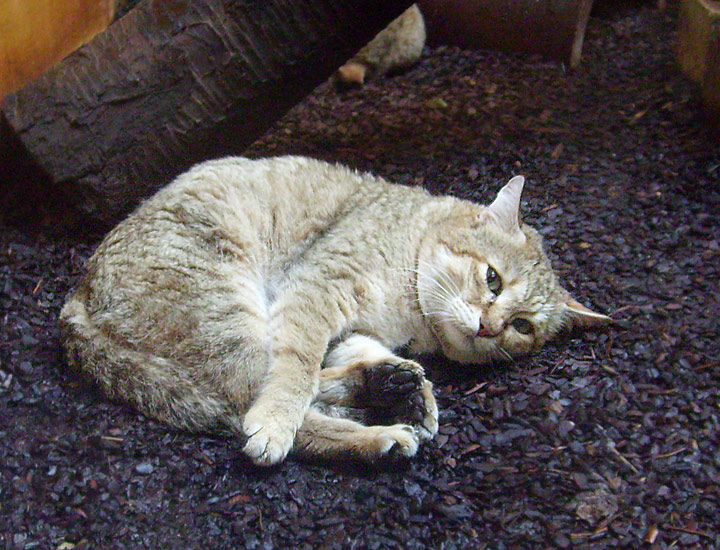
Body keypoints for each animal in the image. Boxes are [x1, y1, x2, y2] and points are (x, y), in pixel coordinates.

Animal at [59, 155, 612, 466]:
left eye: (522, 327)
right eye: (493, 279)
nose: (490, 327)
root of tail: (76, 302)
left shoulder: (353, 329)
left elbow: (340, 359)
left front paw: (407, 387)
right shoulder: (315, 291)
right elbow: (296, 371)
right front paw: (279, 418)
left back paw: (391, 390)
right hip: (228, 311)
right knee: (252, 405)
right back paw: (378, 431)